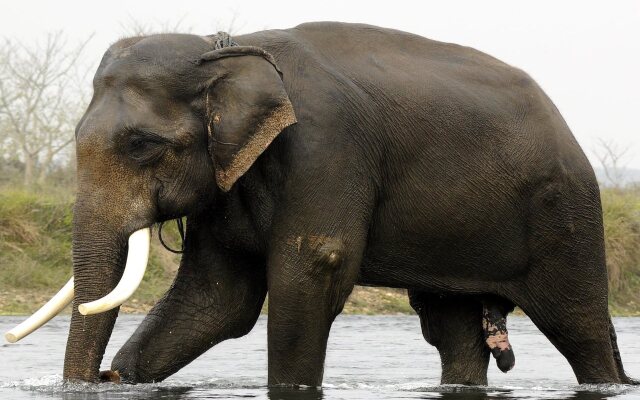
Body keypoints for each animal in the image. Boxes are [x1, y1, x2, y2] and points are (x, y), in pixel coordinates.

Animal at [5, 21, 632, 388]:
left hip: (566, 214)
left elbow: (310, 269)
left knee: (578, 326)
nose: (97, 380)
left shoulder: (326, 145)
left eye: (143, 145)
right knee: (451, 328)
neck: (224, 50)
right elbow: (216, 299)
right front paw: (128, 378)